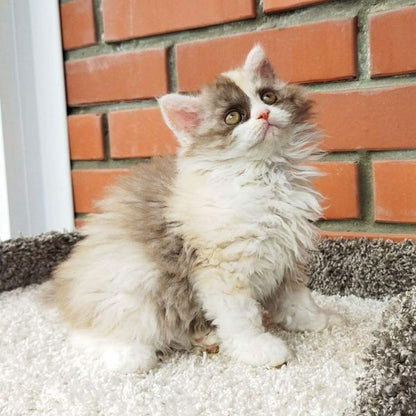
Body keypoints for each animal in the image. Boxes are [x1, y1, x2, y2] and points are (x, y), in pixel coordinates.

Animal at [48, 46, 342, 374]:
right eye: (233, 117)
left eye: (268, 97)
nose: (265, 115)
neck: (267, 176)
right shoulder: (222, 269)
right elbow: (242, 316)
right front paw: (259, 349)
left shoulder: (289, 257)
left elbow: (298, 300)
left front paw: (318, 320)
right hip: (135, 288)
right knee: (89, 334)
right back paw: (130, 355)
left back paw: (204, 338)